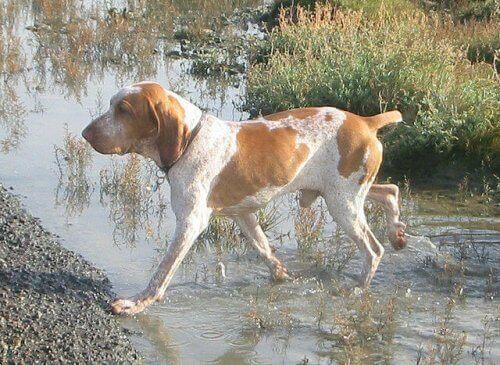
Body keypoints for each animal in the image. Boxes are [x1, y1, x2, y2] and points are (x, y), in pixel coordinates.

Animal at [81, 81, 406, 314]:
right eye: (111, 105)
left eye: (124, 109)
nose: (85, 133)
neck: (190, 140)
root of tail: (365, 121)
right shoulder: (244, 214)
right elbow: (266, 251)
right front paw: (283, 278)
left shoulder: (190, 223)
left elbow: (161, 273)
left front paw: (136, 304)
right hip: (342, 192)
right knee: (390, 191)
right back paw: (397, 233)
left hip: (343, 203)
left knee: (373, 250)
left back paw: (359, 289)